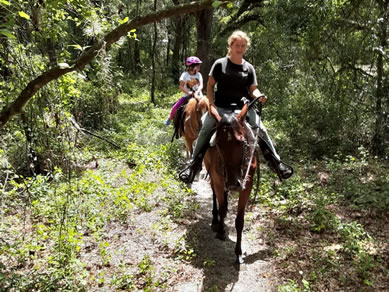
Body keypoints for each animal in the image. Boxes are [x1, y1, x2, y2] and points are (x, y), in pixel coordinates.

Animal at [202, 103, 256, 264]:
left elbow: (239, 221)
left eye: (242, 142)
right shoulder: (219, 181)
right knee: (214, 193)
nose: (233, 183)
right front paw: (221, 231)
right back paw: (216, 220)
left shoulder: (247, 186)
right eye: (218, 144)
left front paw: (238, 253)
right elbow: (219, 203)